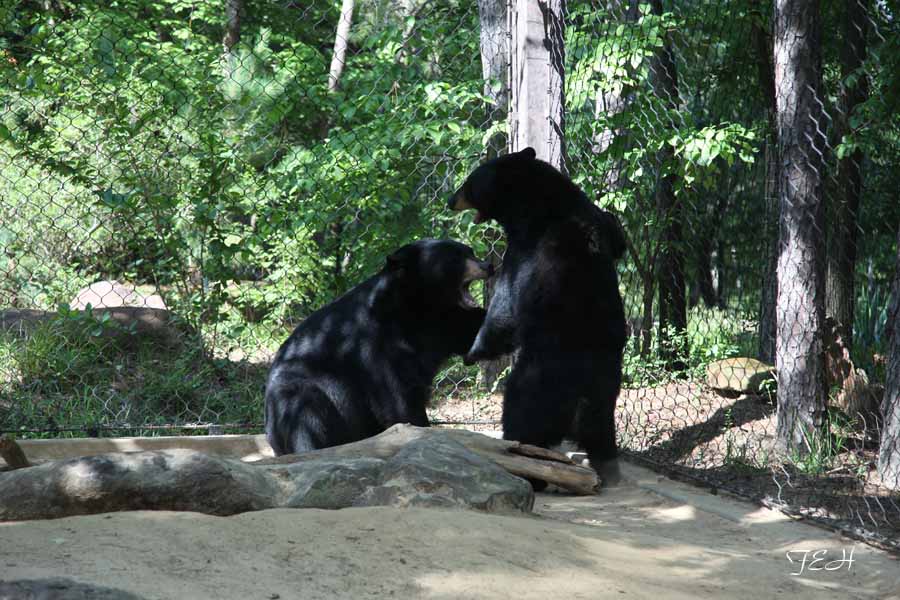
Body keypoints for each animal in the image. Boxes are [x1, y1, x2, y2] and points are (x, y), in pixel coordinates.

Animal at [265, 239, 491, 455]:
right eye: (455, 258)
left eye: (470, 252)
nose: (487, 265)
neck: (418, 307)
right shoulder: (374, 344)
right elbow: (396, 396)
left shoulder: (443, 323)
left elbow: (472, 328)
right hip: (298, 394)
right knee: (306, 416)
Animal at [448, 147, 627, 485]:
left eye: (469, 183)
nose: (450, 200)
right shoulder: (603, 223)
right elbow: (617, 234)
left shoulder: (524, 248)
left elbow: (504, 307)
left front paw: (473, 350)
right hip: (606, 386)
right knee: (600, 426)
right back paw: (607, 462)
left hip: (538, 380)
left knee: (522, 414)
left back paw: (523, 456)